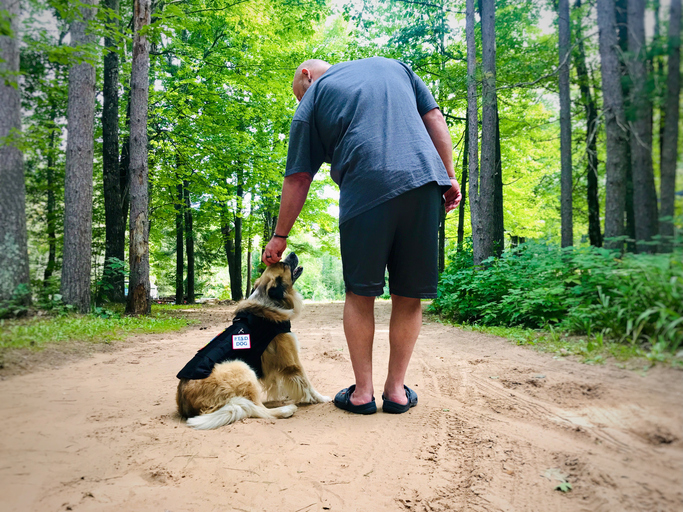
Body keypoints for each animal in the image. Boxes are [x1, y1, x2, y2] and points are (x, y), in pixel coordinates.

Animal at [176, 253, 332, 428]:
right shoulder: (292, 362)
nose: (292, 254)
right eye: (283, 265)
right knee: (257, 409)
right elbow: (306, 384)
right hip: (242, 367)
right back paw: (285, 410)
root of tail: (184, 406)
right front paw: (321, 398)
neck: (268, 300)